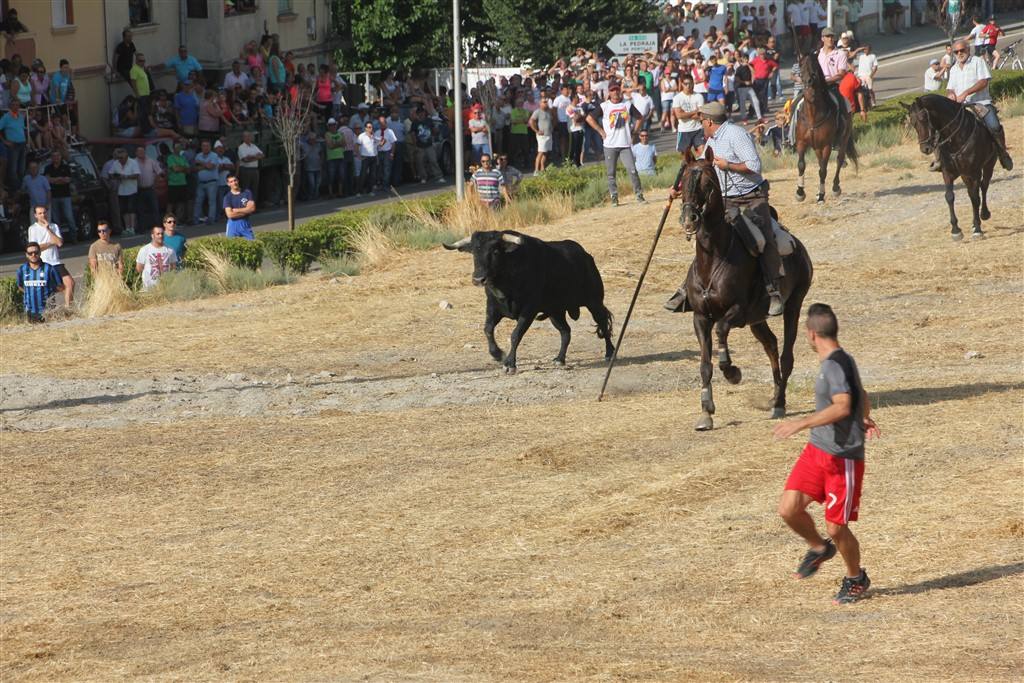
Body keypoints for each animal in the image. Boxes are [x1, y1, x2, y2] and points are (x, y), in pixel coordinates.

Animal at [444, 231, 610, 374]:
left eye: (495, 251)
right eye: (474, 252)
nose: (478, 279)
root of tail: (586, 256)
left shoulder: (529, 310)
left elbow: (515, 335)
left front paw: (509, 364)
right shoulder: (493, 308)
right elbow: (488, 329)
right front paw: (497, 354)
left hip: (595, 302)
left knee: (603, 323)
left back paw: (610, 353)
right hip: (555, 312)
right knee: (566, 331)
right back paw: (560, 359)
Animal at [679, 148, 815, 432]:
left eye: (708, 183)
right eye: (682, 182)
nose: (689, 219)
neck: (712, 259)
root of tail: (798, 245)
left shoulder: (737, 311)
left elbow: (721, 331)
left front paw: (732, 371)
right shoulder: (700, 317)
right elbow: (705, 364)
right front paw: (706, 412)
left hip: (793, 305)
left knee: (786, 355)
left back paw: (779, 404)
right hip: (757, 320)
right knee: (771, 345)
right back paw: (775, 395)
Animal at [790, 51, 856, 201]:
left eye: (815, 65)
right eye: (801, 67)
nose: (808, 82)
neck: (813, 115)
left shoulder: (826, 145)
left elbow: (823, 170)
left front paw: (821, 195)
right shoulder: (801, 142)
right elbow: (801, 165)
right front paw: (800, 192)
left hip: (843, 139)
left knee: (839, 160)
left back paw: (836, 188)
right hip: (816, 147)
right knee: (821, 162)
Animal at [909, 94, 995, 240]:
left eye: (924, 118)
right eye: (913, 123)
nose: (925, 148)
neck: (956, 137)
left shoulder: (974, 171)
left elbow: (975, 198)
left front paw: (978, 229)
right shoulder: (948, 172)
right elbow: (949, 196)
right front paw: (956, 230)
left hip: (989, 164)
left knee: (983, 187)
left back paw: (984, 214)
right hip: (965, 175)